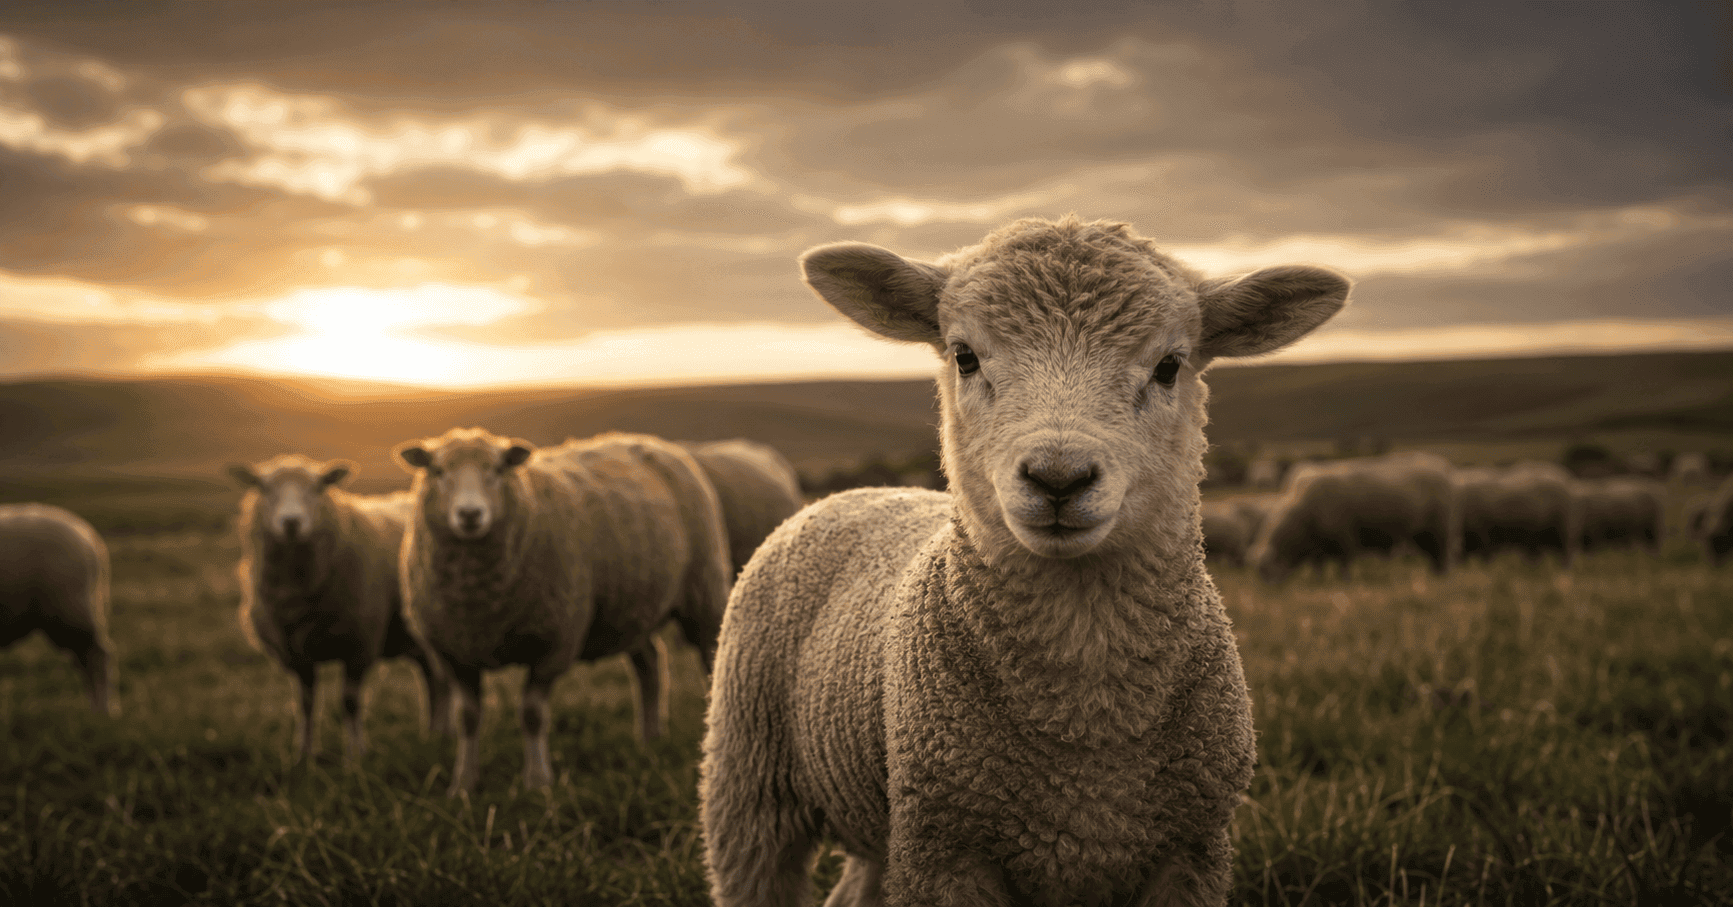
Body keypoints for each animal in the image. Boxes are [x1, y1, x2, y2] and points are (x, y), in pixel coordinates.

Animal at [230, 455, 450, 762]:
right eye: (263, 487)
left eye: (319, 487)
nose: (291, 522)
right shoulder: (296, 654)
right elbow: (306, 704)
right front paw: (304, 755)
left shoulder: (359, 644)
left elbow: (349, 702)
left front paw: (355, 756)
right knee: (433, 680)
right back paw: (432, 734)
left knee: (441, 681)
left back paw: (440, 735)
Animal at [396, 427, 731, 795]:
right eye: (437, 471)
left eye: (498, 470)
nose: (470, 514)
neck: (480, 597)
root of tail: (651, 441)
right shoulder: (453, 654)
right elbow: (468, 720)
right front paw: (463, 784)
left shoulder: (554, 641)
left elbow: (532, 714)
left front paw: (537, 782)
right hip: (630, 609)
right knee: (650, 663)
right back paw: (650, 739)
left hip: (704, 590)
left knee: (710, 657)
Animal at [699, 216, 1350, 906]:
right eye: (965, 356)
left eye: (1170, 366)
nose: (1058, 478)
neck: (1086, 712)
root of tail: (852, 493)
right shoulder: (945, 851)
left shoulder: (1193, 850)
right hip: (749, 781)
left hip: (879, 824)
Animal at [1247, 451, 1461, 584]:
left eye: (1265, 570)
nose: (1270, 590)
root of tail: (1442, 464)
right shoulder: (1317, 545)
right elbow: (1318, 565)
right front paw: (1318, 580)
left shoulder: (1344, 536)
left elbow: (1344, 563)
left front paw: (1345, 580)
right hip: (1423, 534)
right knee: (1433, 555)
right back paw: (1434, 575)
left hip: (1440, 529)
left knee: (1442, 554)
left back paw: (1442, 577)